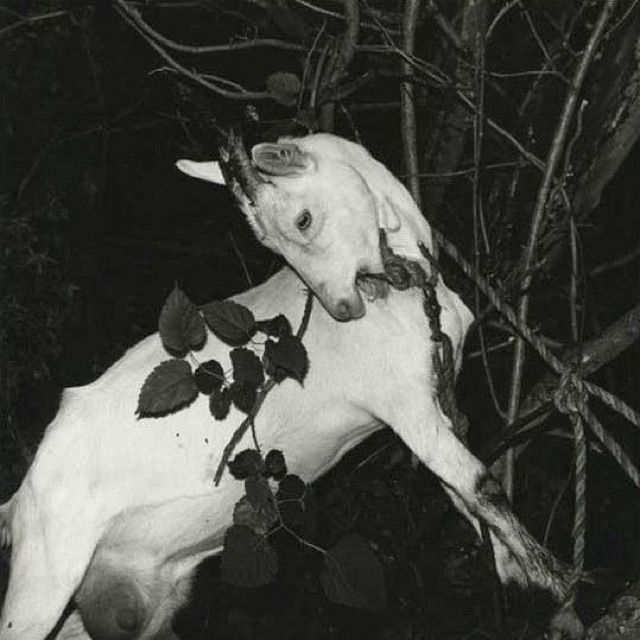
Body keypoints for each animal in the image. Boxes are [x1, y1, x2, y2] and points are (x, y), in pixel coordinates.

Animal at [0, 133, 569, 640]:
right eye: (272, 241)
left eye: (301, 219)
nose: (343, 308)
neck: (415, 291)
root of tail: (21, 498)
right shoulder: (405, 406)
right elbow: (480, 483)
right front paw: (555, 580)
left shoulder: (434, 402)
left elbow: (463, 494)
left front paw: (513, 573)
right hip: (47, 567)